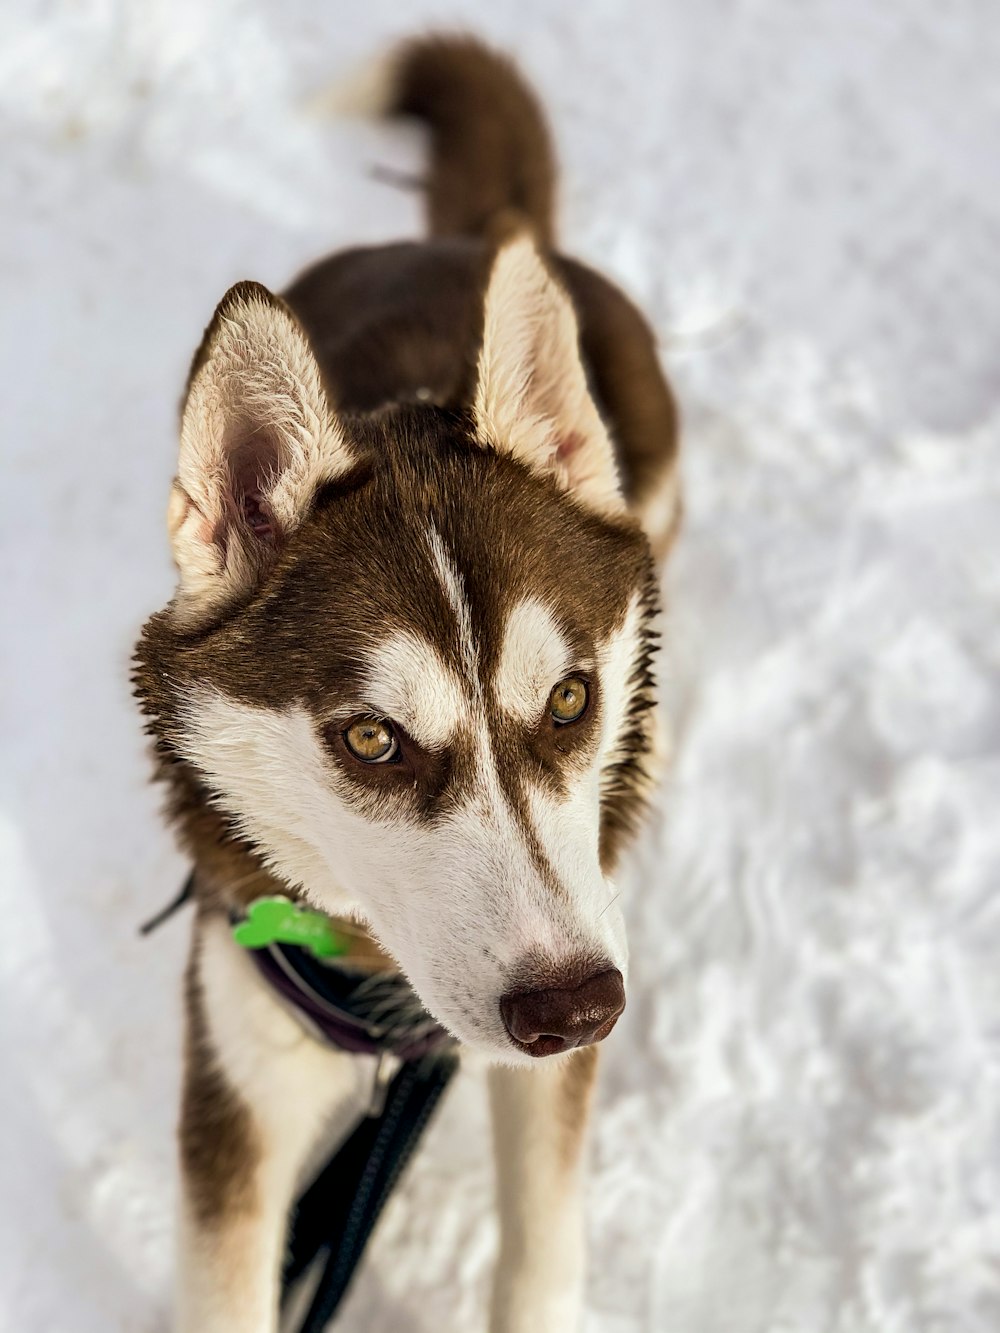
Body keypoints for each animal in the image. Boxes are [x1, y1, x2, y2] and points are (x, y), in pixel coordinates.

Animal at [133, 36, 682, 1333]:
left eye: (570, 699)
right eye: (372, 739)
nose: (571, 1006)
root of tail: (475, 234)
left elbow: (539, 1261)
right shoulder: (241, 1068)